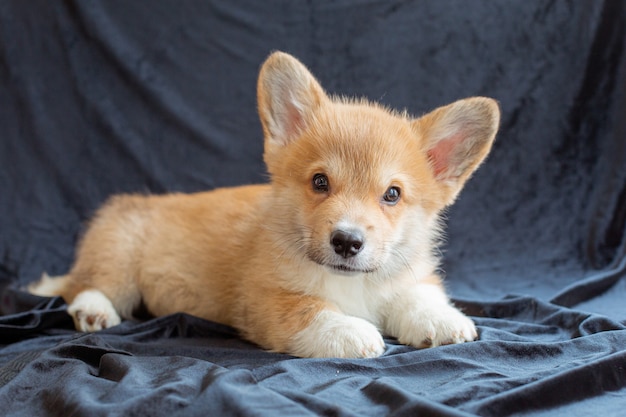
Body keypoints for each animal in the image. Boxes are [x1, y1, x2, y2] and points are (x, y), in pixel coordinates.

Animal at [29, 51, 500, 358]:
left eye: (392, 194)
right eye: (320, 182)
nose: (347, 242)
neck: (352, 283)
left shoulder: (402, 276)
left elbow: (418, 294)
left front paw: (442, 320)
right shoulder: (265, 299)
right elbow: (311, 309)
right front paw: (352, 332)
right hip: (120, 256)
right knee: (86, 285)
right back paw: (93, 311)